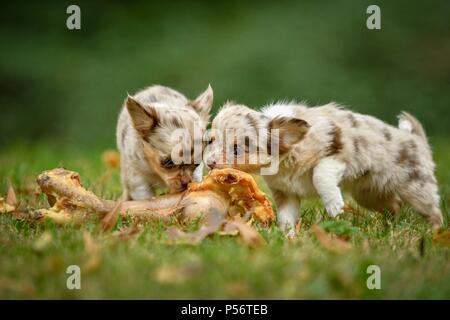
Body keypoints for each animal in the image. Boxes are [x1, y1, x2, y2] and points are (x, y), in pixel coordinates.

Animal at [206, 100, 444, 232]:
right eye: (210, 141)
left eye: (237, 149)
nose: (209, 163)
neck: (283, 163)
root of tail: (418, 139)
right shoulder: (286, 192)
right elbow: (286, 216)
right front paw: (288, 236)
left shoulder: (335, 155)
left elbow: (320, 176)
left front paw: (334, 206)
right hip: (369, 195)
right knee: (394, 204)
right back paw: (389, 225)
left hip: (417, 188)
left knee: (434, 212)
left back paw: (436, 234)